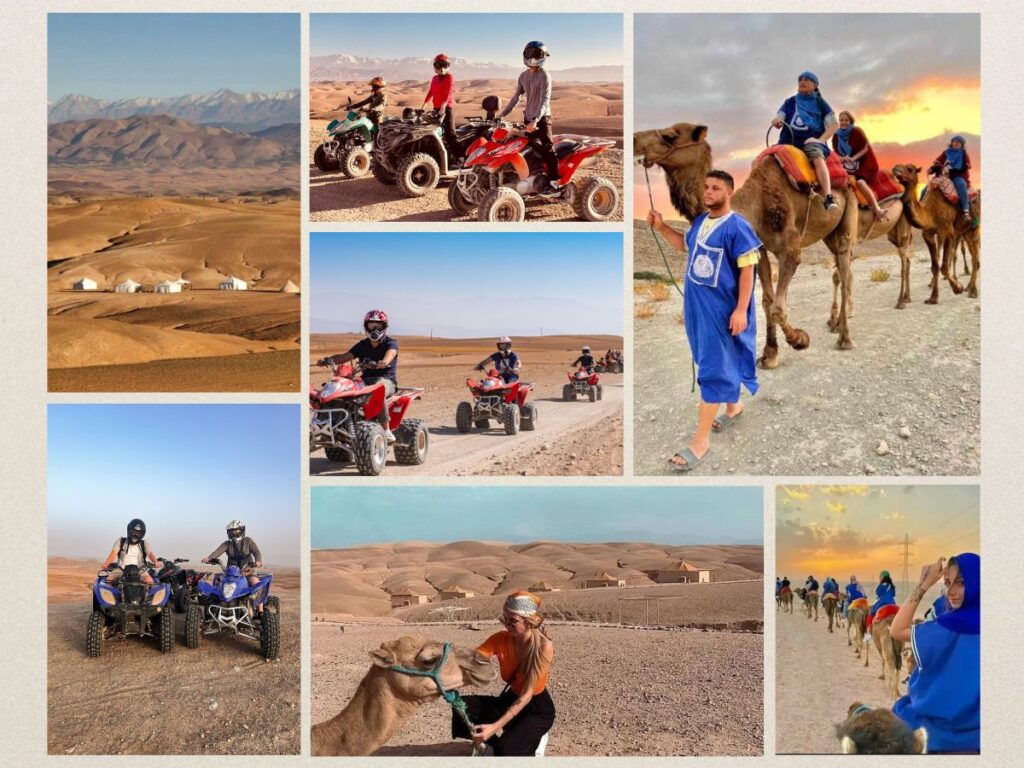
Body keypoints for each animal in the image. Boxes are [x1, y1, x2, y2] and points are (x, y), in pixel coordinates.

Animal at [634, 123, 868, 370]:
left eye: (671, 135)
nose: (634, 140)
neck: (755, 206)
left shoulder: (790, 249)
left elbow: (777, 307)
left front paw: (799, 339)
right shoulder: (759, 249)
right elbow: (767, 302)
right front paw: (770, 355)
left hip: (848, 214)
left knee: (844, 270)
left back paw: (845, 338)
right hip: (828, 235)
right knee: (841, 269)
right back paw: (834, 324)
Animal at [892, 163, 978, 303]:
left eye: (910, 169)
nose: (896, 168)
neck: (930, 212)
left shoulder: (949, 232)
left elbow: (944, 267)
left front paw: (957, 288)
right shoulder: (928, 234)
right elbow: (935, 266)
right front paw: (933, 297)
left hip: (973, 229)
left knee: (975, 258)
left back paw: (973, 291)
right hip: (965, 232)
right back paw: (969, 287)